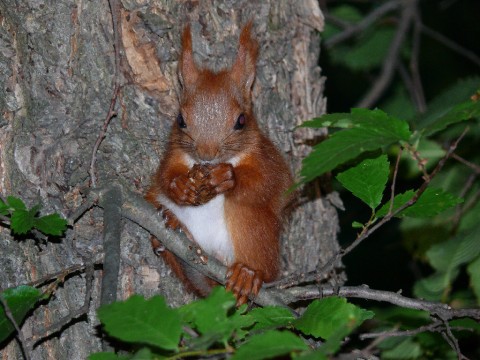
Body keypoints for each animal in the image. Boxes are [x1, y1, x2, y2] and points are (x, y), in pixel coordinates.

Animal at [144, 22, 290, 306]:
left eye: (241, 121)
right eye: (180, 119)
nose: (206, 154)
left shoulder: (267, 156)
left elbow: (271, 182)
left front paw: (228, 177)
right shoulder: (175, 153)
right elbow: (164, 175)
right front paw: (180, 186)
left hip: (253, 227)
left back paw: (248, 274)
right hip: (157, 204)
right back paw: (173, 231)